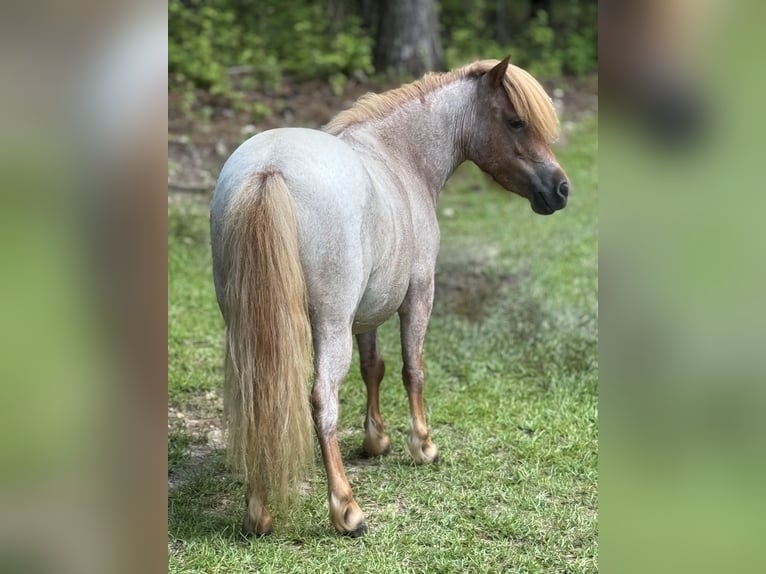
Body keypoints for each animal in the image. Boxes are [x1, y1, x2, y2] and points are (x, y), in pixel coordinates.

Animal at [210, 56, 568, 536]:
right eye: (516, 122)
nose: (561, 189)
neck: (400, 157)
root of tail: (268, 171)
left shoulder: (367, 312)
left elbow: (373, 367)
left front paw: (376, 439)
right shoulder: (418, 295)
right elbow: (412, 369)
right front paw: (423, 445)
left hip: (250, 326)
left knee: (257, 399)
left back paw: (258, 513)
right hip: (329, 326)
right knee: (322, 401)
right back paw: (347, 510)